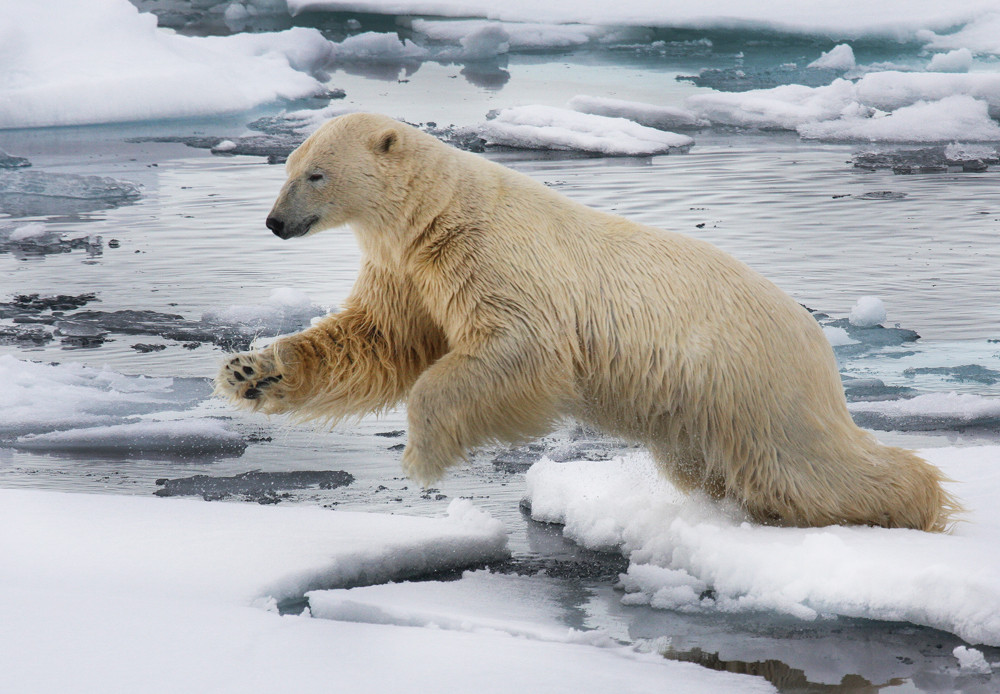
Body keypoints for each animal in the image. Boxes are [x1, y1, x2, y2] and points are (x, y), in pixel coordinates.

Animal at [213, 114, 960, 532]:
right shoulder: (408, 273)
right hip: (704, 407)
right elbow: (376, 341)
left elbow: (519, 349)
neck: (437, 217)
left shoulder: (496, 257)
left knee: (802, 464)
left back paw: (918, 502)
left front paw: (423, 457)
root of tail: (816, 338)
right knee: (724, 467)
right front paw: (250, 372)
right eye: (288, 167)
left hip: (750, 379)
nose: (274, 222)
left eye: (315, 174)